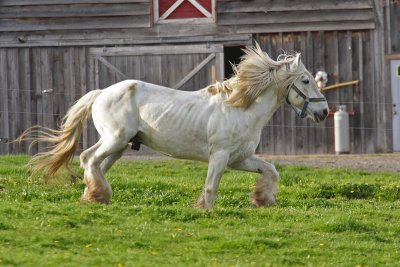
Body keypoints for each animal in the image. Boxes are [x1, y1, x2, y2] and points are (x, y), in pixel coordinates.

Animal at [18, 44, 328, 209]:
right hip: (115, 140)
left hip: (119, 145)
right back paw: (98, 194)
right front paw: (206, 210)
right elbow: (211, 186)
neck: (240, 108)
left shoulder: (240, 158)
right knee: (89, 159)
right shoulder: (220, 156)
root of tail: (102, 92)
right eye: (305, 80)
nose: (324, 112)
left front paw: (262, 199)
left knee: (92, 163)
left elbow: (271, 170)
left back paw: (95, 196)